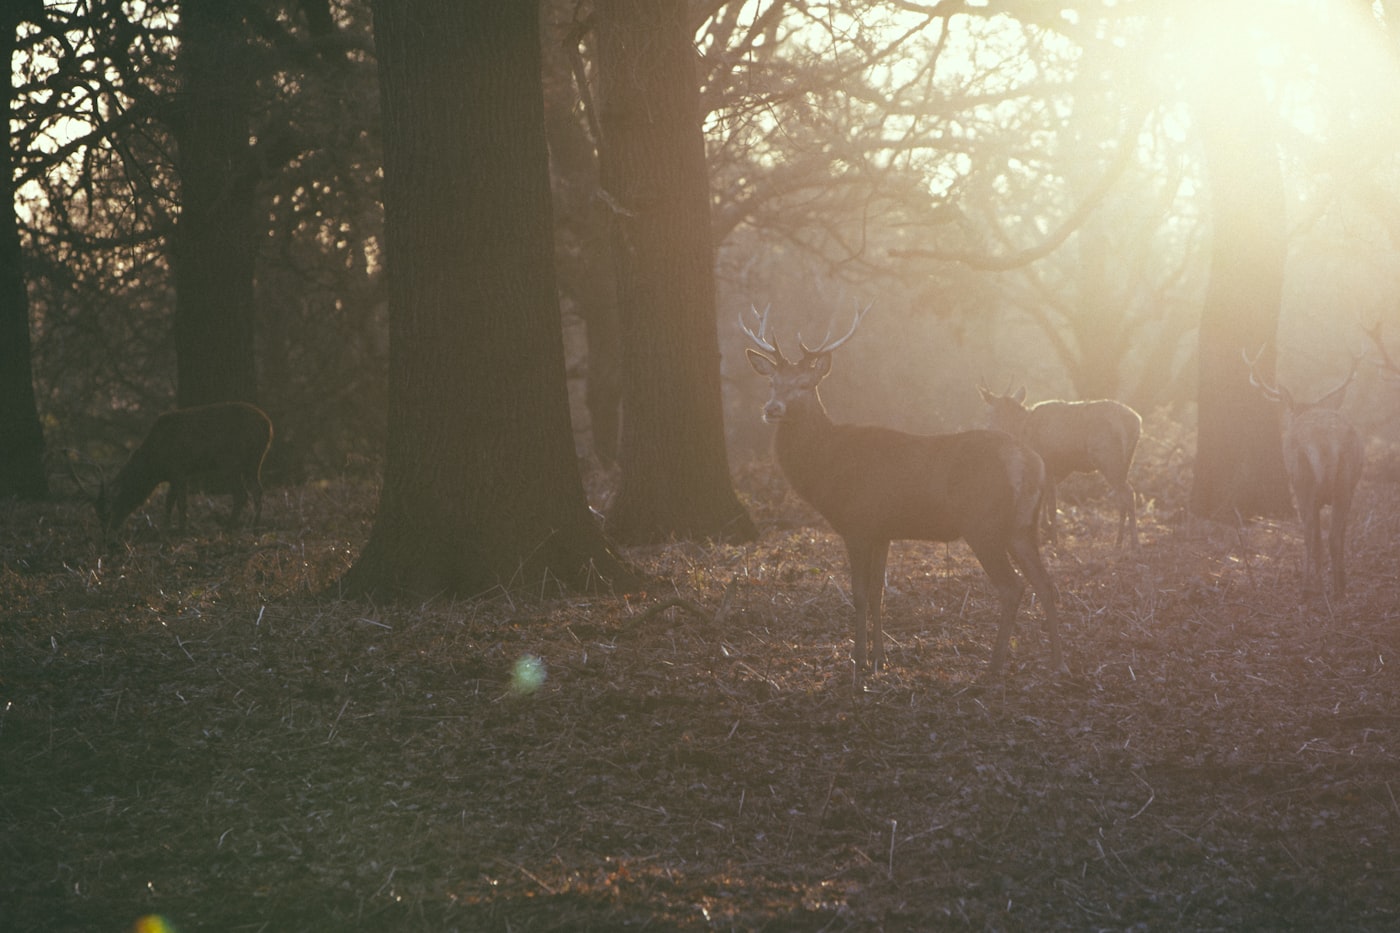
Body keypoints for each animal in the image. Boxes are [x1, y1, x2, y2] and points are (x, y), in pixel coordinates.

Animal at [95, 401, 274, 539]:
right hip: (254, 462)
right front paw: (166, 530)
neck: (155, 466)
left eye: (109, 511)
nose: (106, 533)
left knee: (241, 494)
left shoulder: (178, 471)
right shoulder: (178, 475)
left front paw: (180, 532)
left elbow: (180, 503)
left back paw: (228, 528)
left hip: (231, 462)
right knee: (257, 490)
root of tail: (268, 427)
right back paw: (254, 528)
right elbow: (170, 502)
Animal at [743, 305, 1062, 676]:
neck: (828, 465)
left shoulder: (858, 523)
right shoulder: (883, 531)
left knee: (1012, 587)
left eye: (805, 384)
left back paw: (994, 668)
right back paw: (1057, 662)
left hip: (983, 524)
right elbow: (879, 592)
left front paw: (858, 662)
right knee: (1046, 583)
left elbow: (859, 593)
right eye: (771, 382)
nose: (771, 409)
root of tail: (1030, 462)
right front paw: (880, 659)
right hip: (1023, 526)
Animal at [977, 385, 1142, 548]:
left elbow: (1051, 506)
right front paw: (1045, 531)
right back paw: (1119, 542)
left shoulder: (1047, 465)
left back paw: (1134, 543)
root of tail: (1137, 422)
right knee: (1122, 497)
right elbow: (1045, 501)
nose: (987, 429)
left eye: (989, 412)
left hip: (1108, 459)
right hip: (1126, 462)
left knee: (1128, 493)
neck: (1021, 429)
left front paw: (1053, 540)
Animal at [1244, 347, 1364, 600]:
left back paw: (1309, 588)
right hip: (1345, 482)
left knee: (1313, 535)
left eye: (1289, 414)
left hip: (1302, 480)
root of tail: (1326, 444)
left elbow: (1312, 535)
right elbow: (1341, 532)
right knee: (1334, 536)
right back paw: (1339, 589)